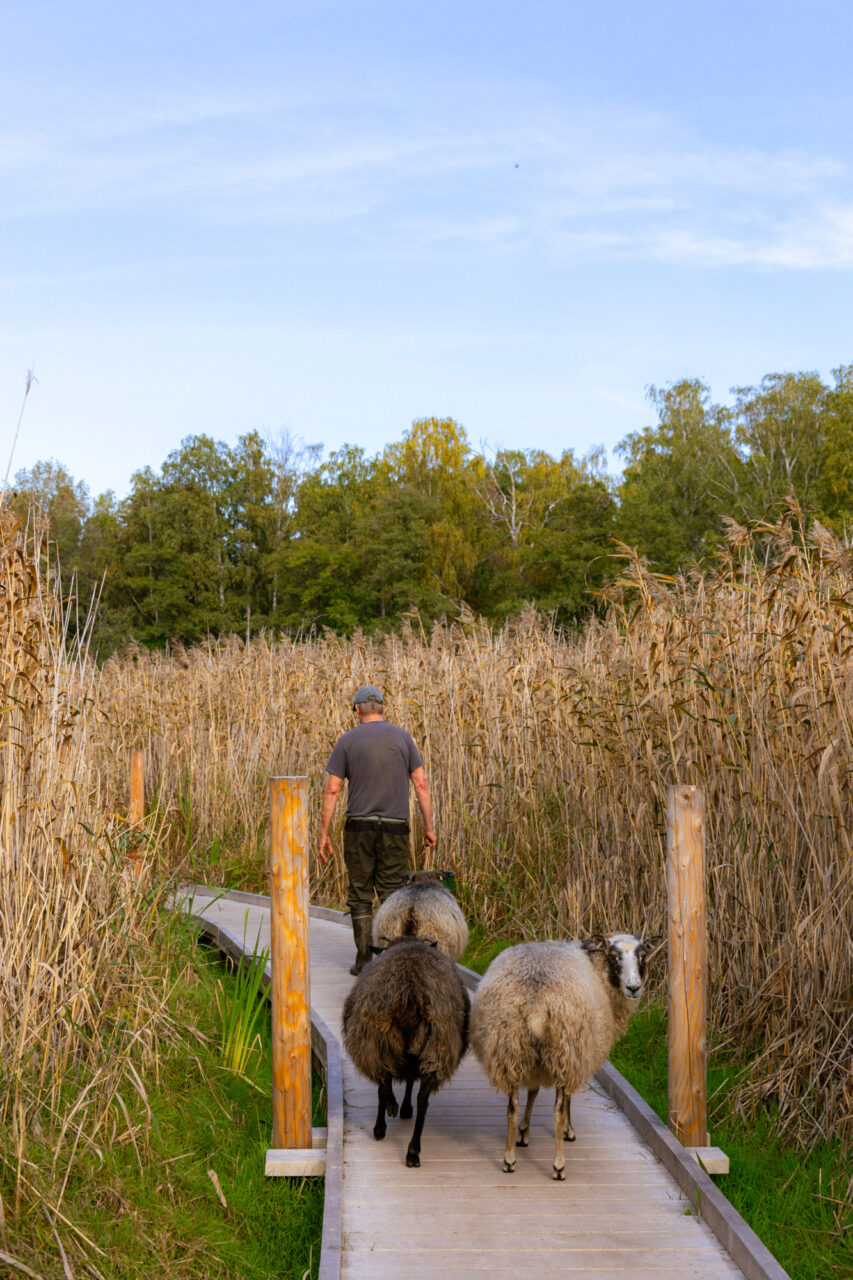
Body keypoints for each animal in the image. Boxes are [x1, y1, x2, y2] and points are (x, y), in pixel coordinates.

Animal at [340, 931, 471, 1172]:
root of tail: (411, 993)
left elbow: (386, 1085)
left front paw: (393, 1110)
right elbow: (410, 1081)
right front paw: (405, 1108)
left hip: (378, 1042)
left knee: (383, 1085)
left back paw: (382, 1125)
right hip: (434, 1050)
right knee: (423, 1099)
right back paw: (413, 1152)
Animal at [466, 931, 655, 1177]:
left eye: (642, 957)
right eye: (614, 957)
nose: (634, 987)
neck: (597, 966)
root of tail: (535, 1004)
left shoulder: (537, 1064)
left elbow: (533, 1092)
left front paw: (524, 1132)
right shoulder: (579, 1056)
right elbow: (567, 1100)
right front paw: (568, 1130)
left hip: (510, 1049)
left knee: (512, 1107)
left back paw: (509, 1159)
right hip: (565, 1049)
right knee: (557, 1109)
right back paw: (558, 1166)